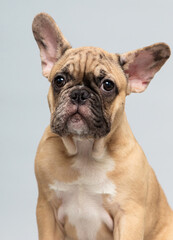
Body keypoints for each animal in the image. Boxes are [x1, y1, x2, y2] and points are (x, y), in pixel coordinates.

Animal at [32, 12, 173, 240]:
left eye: (107, 85)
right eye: (59, 80)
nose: (79, 93)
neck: (85, 148)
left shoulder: (129, 216)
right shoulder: (46, 210)